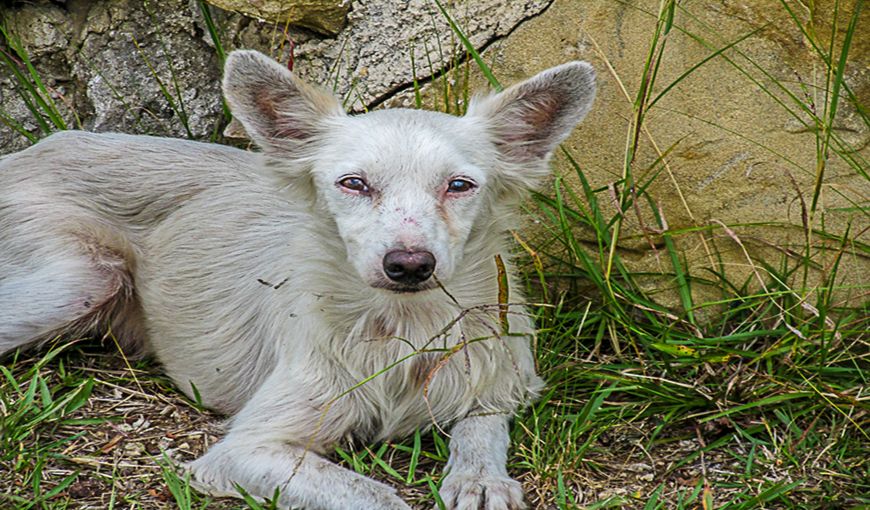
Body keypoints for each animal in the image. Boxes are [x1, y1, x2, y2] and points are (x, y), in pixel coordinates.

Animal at [0, 48, 596, 510]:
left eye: (459, 185)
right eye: (353, 183)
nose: (409, 264)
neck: (402, 328)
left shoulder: (501, 381)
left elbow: (481, 427)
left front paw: (480, 479)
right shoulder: (246, 450)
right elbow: (375, 495)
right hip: (81, 281)